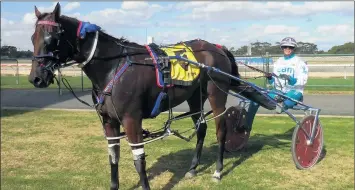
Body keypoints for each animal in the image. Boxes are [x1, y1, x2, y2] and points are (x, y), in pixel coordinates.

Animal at [28, 2, 272, 190]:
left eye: (52, 38)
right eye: (32, 37)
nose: (36, 78)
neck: (113, 67)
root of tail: (217, 47)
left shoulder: (132, 120)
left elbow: (139, 161)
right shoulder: (109, 122)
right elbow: (113, 157)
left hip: (216, 94)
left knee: (221, 130)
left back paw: (218, 171)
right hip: (195, 96)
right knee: (201, 128)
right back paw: (193, 168)